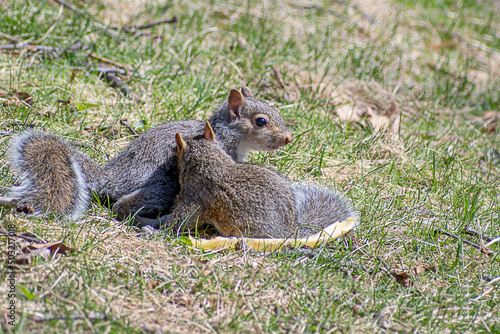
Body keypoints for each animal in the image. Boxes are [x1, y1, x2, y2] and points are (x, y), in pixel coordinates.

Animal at [4, 87, 292, 222]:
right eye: (261, 121)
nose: (289, 138)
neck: (229, 135)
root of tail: (112, 177)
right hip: (164, 186)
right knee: (122, 206)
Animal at [143, 121, 358, 239]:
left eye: (175, 151)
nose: (171, 158)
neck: (210, 163)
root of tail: (290, 235)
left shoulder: (195, 198)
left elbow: (181, 221)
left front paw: (155, 230)